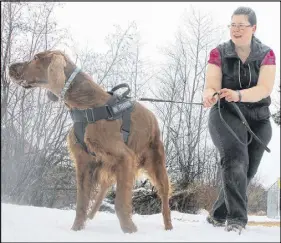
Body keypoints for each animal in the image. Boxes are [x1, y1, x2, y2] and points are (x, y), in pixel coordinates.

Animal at [8, 50, 173, 234]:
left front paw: (129, 230)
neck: (86, 106)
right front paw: (76, 229)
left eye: (36, 58)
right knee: (104, 188)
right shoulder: (84, 162)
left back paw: (168, 227)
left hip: (155, 165)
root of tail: (154, 119)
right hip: (108, 165)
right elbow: (81, 202)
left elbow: (120, 202)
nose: (9, 66)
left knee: (164, 198)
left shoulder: (125, 157)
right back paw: (91, 215)